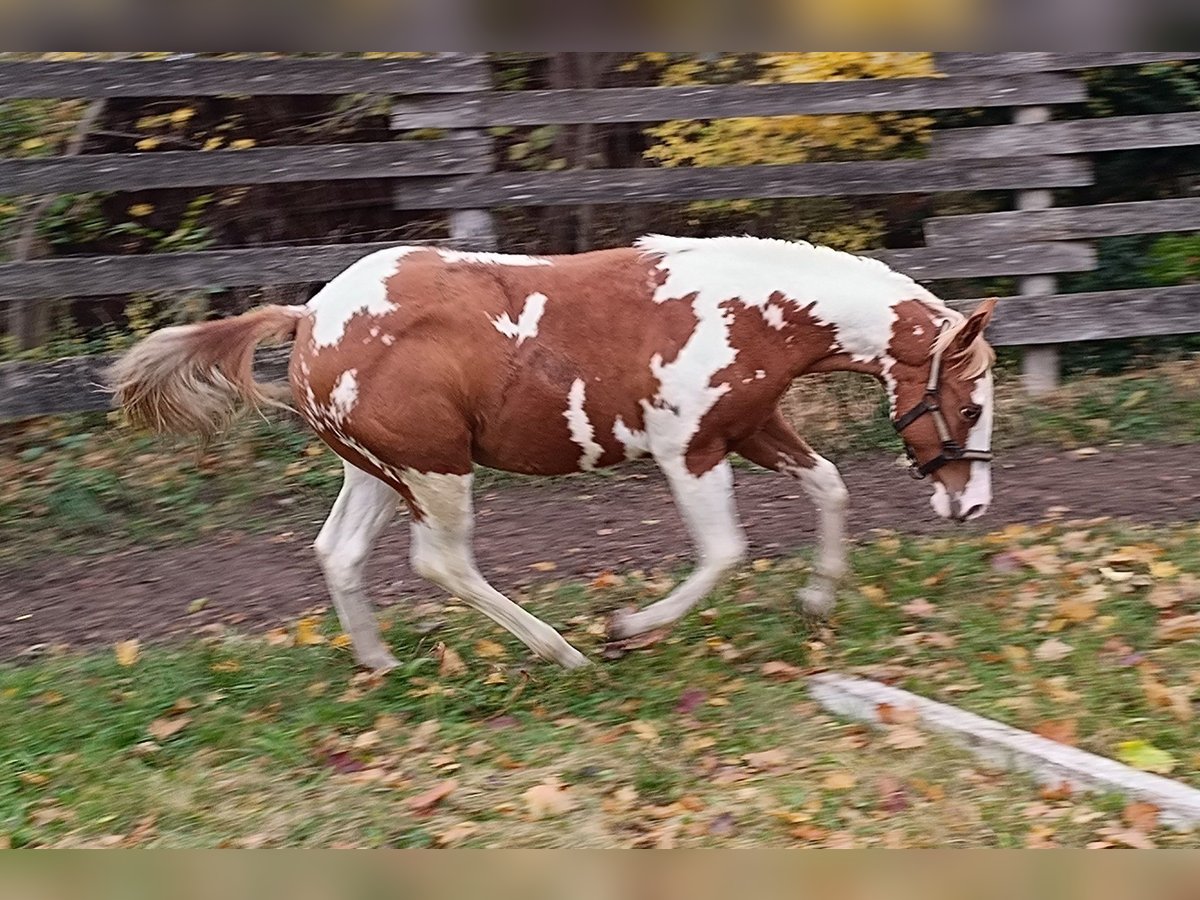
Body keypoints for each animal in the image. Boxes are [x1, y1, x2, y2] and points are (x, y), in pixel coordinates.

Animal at [111, 235, 997, 671]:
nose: (972, 503)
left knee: (338, 553)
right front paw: (626, 627)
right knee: (440, 561)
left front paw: (815, 601)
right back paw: (561, 650)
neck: (750, 311)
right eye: (972, 403)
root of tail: (309, 318)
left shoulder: (748, 428)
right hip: (435, 469)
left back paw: (379, 663)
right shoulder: (689, 449)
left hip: (376, 469)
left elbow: (831, 487)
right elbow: (723, 552)